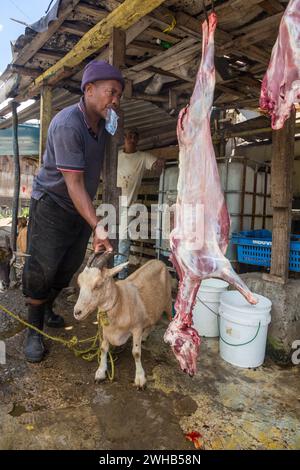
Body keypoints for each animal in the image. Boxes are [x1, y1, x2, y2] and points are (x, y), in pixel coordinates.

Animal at [73, 255, 171, 388]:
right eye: (79, 282)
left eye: (98, 284)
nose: (77, 312)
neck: (121, 301)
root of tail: (158, 261)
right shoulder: (104, 329)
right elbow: (103, 348)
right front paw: (100, 372)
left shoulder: (136, 328)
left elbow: (136, 353)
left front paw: (140, 378)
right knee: (152, 322)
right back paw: (145, 336)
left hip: (168, 302)